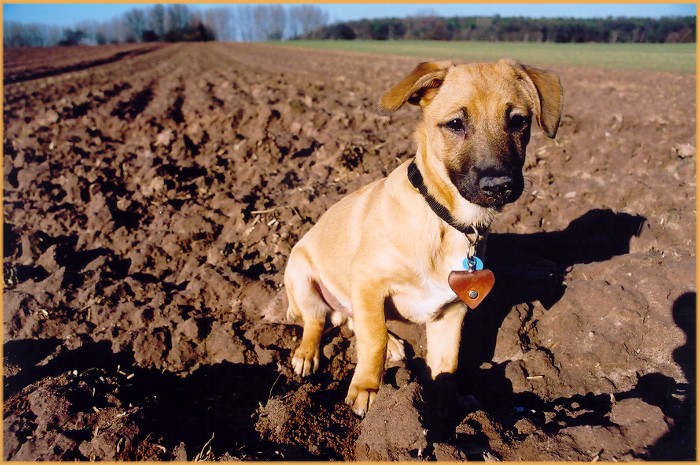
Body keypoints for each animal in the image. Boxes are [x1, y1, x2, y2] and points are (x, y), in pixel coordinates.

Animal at [284, 56, 564, 416]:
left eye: (518, 121)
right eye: (455, 124)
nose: (499, 185)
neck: (447, 221)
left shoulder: (451, 312)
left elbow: (446, 363)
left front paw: (445, 403)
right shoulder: (368, 282)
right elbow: (372, 339)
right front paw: (366, 388)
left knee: (352, 322)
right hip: (302, 279)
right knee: (317, 322)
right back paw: (308, 354)